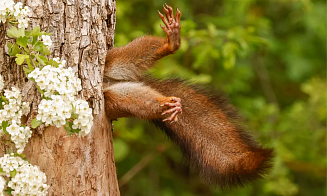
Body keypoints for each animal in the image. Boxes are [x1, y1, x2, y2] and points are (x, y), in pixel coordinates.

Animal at [104, 3, 274, 188]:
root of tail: (109, 82)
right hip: (114, 100)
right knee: (138, 101)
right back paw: (168, 104)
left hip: (112, 60)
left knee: (133, 54)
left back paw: (172, 43)